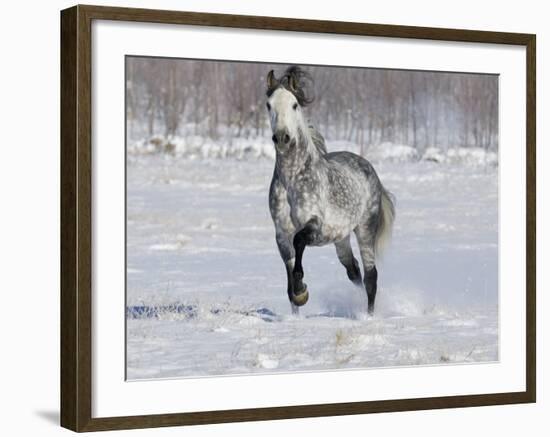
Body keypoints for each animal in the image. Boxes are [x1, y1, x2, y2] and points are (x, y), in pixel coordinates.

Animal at [268, 65, 396, 314]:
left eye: (294, 104)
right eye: (269, 104)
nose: (282, 138)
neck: (292, 180)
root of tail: (369, 168)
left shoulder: (315, 226)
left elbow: (299, 243)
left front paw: (302, 289)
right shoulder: (281, 234)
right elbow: (289, 279)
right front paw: (297, 303)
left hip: (364, 230)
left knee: (371, 277)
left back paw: (369, 316)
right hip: (341, 238)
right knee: (353, 270)